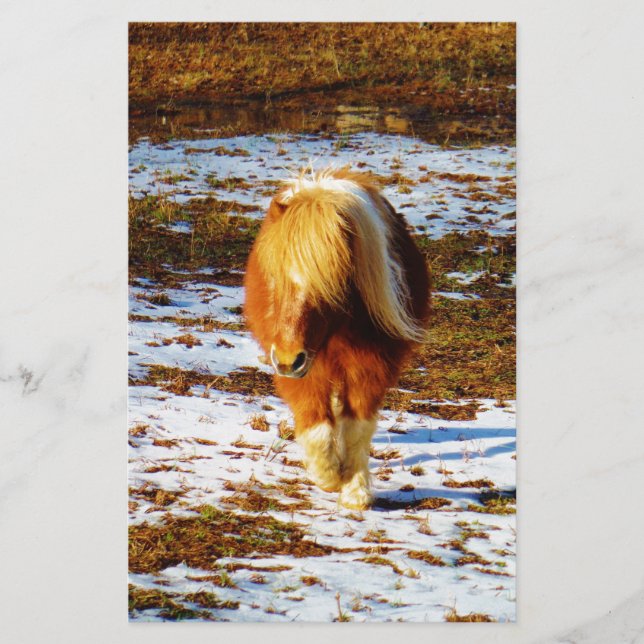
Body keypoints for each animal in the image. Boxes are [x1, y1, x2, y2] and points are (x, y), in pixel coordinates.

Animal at [244, 167, 430, 510]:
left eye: (330, 286)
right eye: (274, 278)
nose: (288, 360)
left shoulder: (371, 368)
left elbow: (356, 428)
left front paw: (355, 490)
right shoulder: (302, 370)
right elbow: (316, 425)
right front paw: (328, 476)